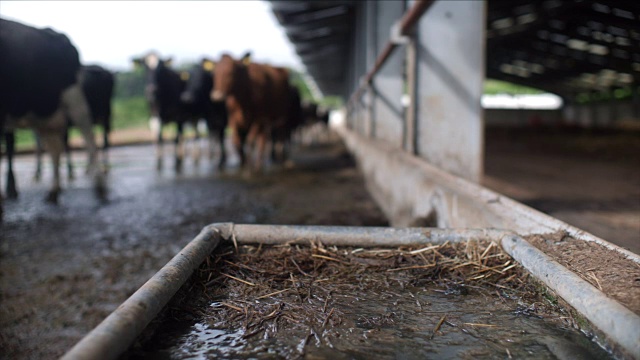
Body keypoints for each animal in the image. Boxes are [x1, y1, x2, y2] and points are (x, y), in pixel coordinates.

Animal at [0, 18, 105, 221]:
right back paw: (54, 192)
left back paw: (99, 186)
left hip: (74, 98)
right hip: (43, 114)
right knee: (55, 148)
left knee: (88, 137)